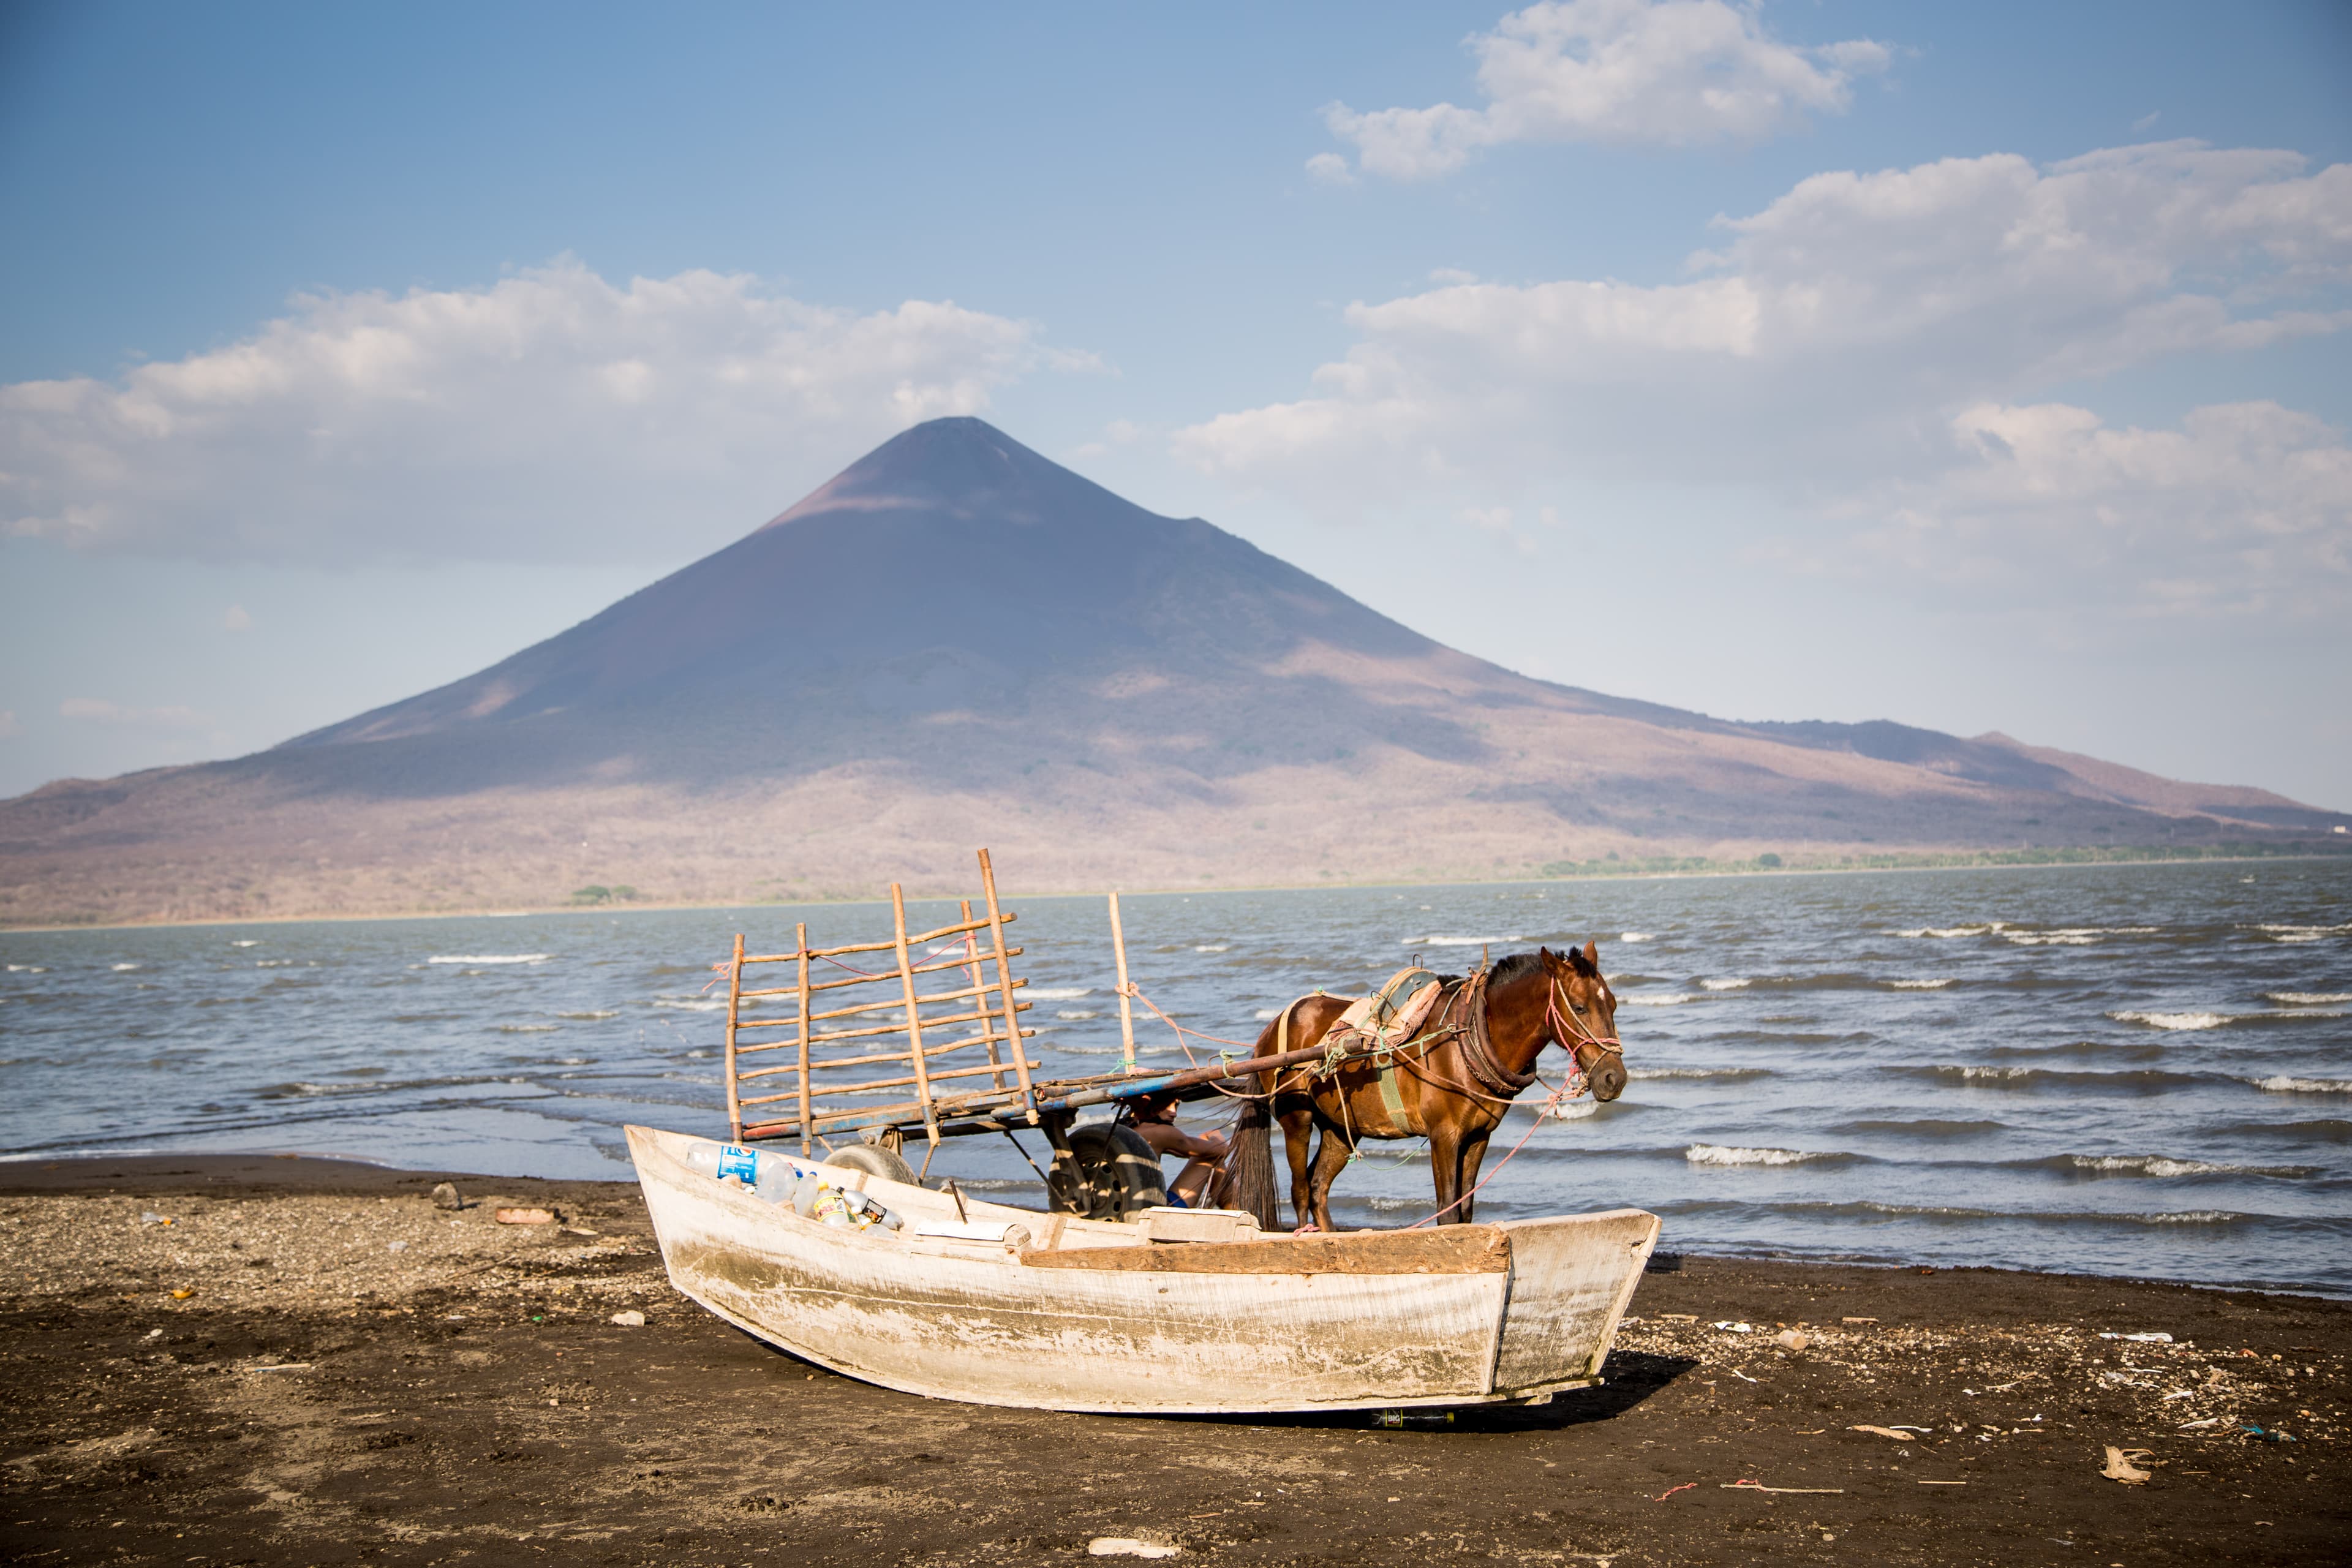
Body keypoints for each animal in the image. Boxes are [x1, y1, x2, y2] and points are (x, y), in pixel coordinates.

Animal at [1223, 944, 1624, 1233]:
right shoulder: (1443, 1135)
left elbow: (1465, 1209)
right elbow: (1446, 1210)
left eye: (1614, 1004)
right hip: (1298, 1119)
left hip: (1340, 1128)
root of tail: (1272, 1027)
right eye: (1579, 1007)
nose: (1614, 1078)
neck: (1470, 1036)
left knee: (1319, 1187)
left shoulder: (1478, 1137)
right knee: (1301, 1191)